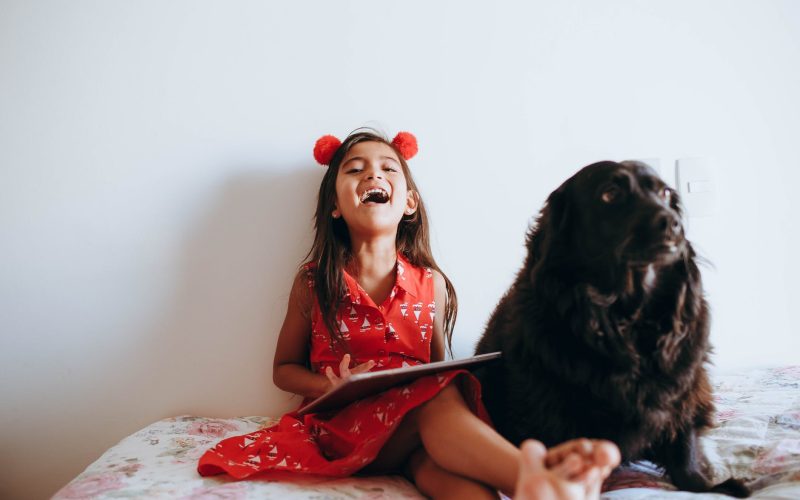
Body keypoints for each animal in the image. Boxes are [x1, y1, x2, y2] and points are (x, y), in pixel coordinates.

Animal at [476, 161, 744, 496]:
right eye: (610, 194)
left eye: (665, 193)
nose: (673, 224)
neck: (627, 317)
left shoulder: (683, 390)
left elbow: (685, 448)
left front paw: (705, 485)